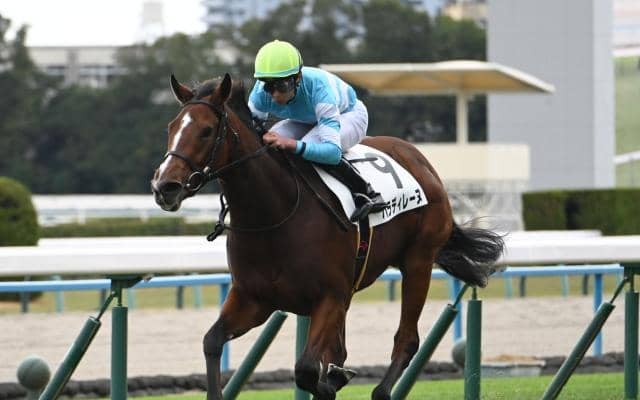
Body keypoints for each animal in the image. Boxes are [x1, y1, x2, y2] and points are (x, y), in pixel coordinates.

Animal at [151, 73, 504, 400]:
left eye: (206, 130)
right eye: (171, 127)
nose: (164, 187)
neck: (274, 217)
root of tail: (420, 159)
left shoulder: (330, 297)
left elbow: (306, 369)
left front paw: (333, 379)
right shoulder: (254, 299)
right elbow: (211, 341)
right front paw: (335, 375)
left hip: (419, 261)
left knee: (407, 339)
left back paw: (379, 389)